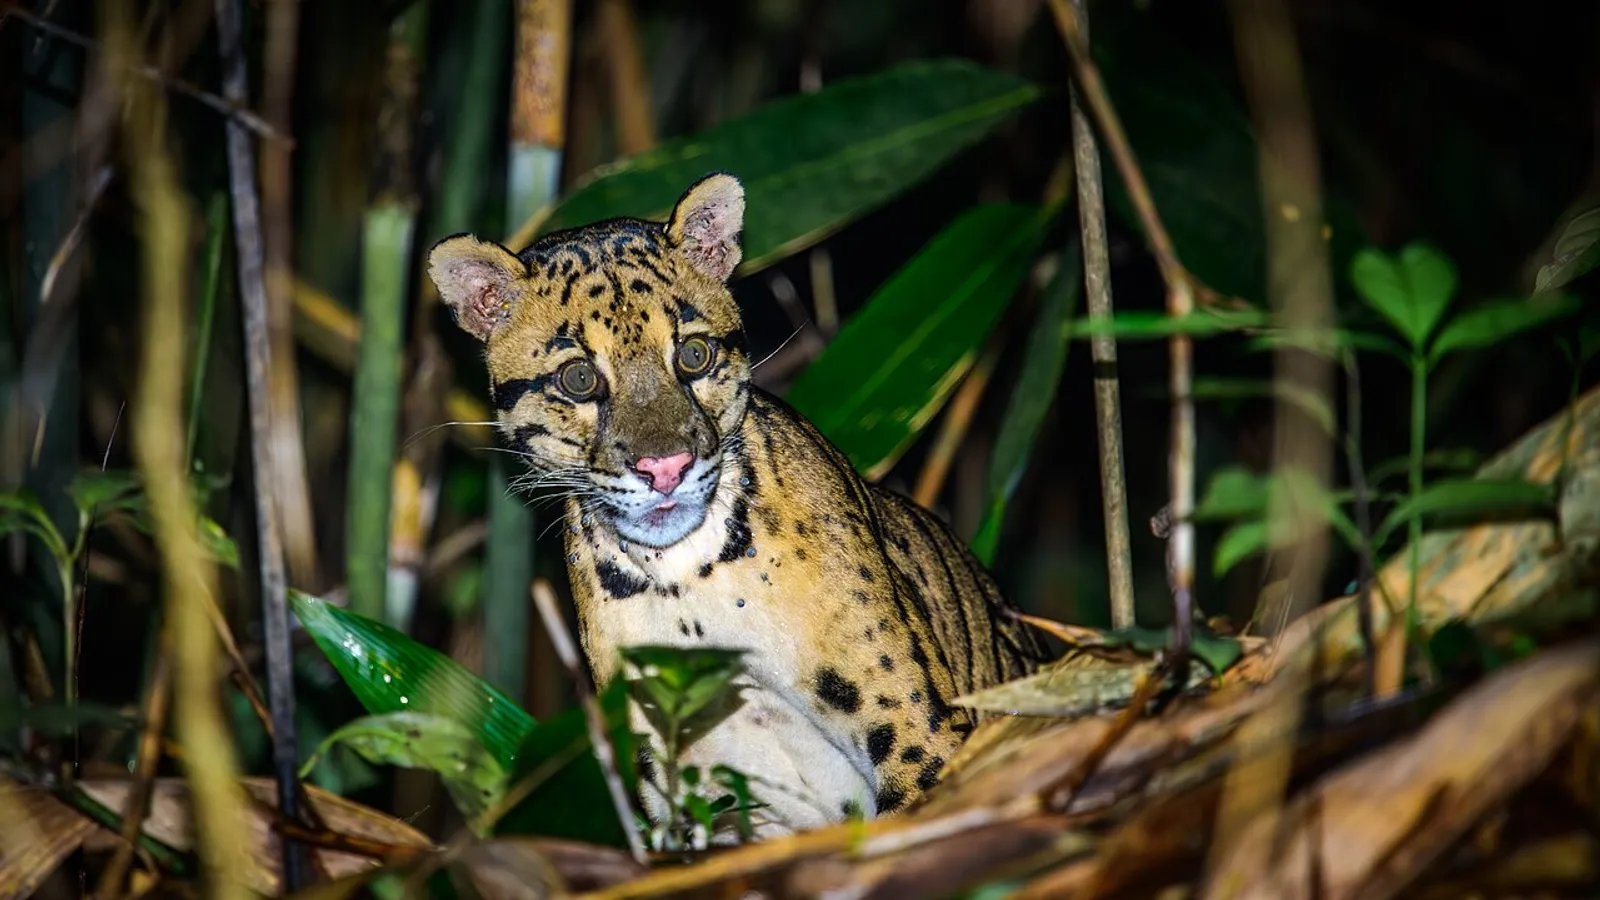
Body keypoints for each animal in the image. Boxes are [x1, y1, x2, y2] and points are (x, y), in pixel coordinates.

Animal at [427, 172, 1049, 845]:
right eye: (578, 379)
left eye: (693, 356)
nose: (665, 467)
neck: (685, 581)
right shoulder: (687, 795)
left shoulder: (917, 733)